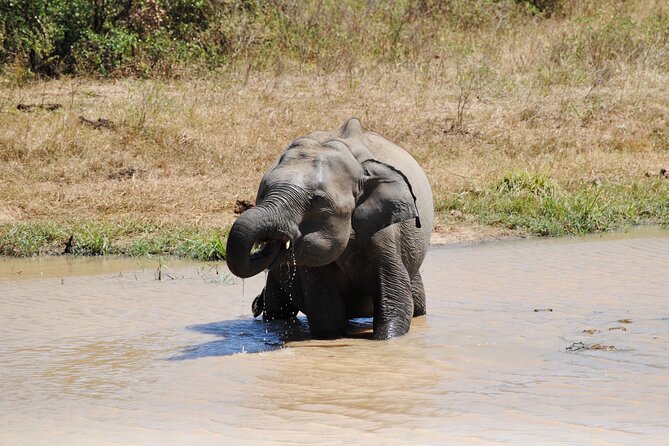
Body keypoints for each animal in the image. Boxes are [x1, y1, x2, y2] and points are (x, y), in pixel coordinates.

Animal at [224, 116, 434, 340]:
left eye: (316, 200)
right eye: (263, 192)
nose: (254, 304)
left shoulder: (384, 232)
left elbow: (395, 301)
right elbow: (325, 313)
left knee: (416, 303)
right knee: (278, 311)